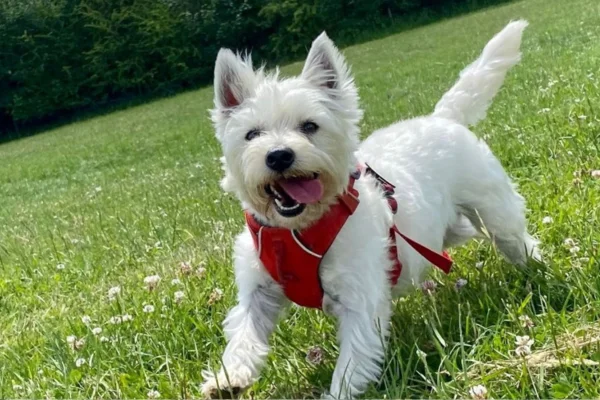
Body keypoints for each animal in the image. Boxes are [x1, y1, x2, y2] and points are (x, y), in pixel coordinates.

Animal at [202, 20, 540, 398]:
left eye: (310, 126)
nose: (278, 156)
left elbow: (352, 360)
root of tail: (442, 118)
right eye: (251, 134)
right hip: (446, 229)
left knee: (513, 237)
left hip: (492, 211)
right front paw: (229, 378)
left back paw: (536, 268)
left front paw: (338, 392)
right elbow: (245, 331)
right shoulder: (258, 289)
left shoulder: (359, 298)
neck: (300, 229)